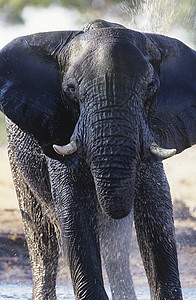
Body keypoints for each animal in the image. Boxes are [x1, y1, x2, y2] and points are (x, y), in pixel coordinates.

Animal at [0, 19, 195, 298]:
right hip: (17, 160)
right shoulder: (60, 130)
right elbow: (74, 211)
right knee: (42, 239)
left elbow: (157, 210)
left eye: (151, 88)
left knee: (116, 248)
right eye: (70, 90)